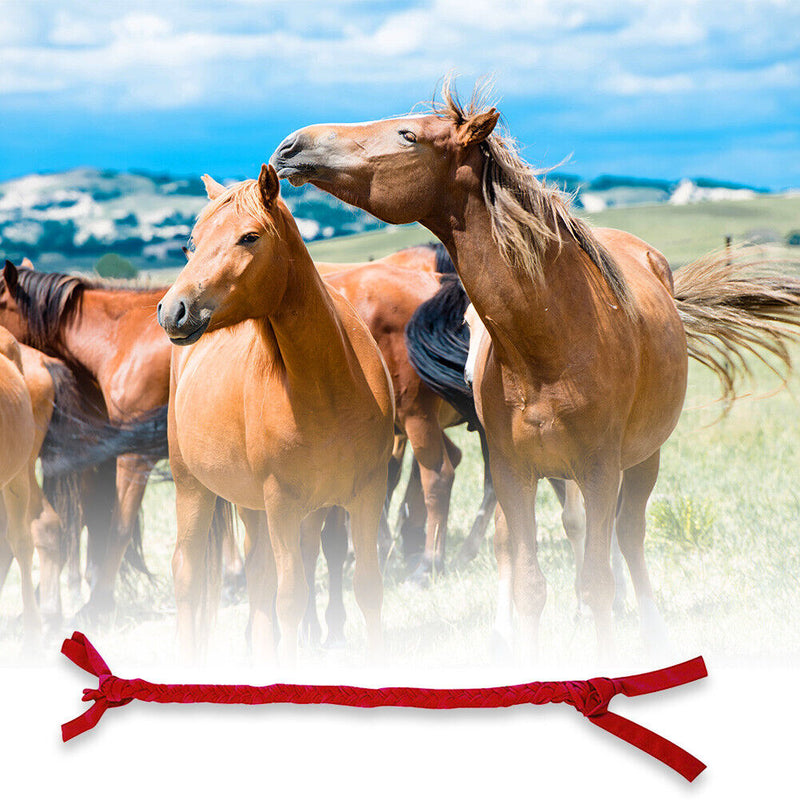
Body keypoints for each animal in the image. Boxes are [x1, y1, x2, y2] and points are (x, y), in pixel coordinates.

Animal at [157, 165, 394, 664]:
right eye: (192, 242)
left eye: (249, 237)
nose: (173, 310)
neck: (328, 388)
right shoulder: (282, 505)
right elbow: (291, 599)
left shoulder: (366, 493)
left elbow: (368, 586)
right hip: (192, 488)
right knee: (188, 574)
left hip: (252, 506)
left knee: (258, 579)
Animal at [270, 81, 800, 661]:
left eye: (407, 135)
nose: (292, 145)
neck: (552, 339)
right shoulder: (514, 471)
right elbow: (529, 580)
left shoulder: (599, 470)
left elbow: (598, 580)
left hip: (642, 459)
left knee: (628, 537)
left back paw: (651, 629)